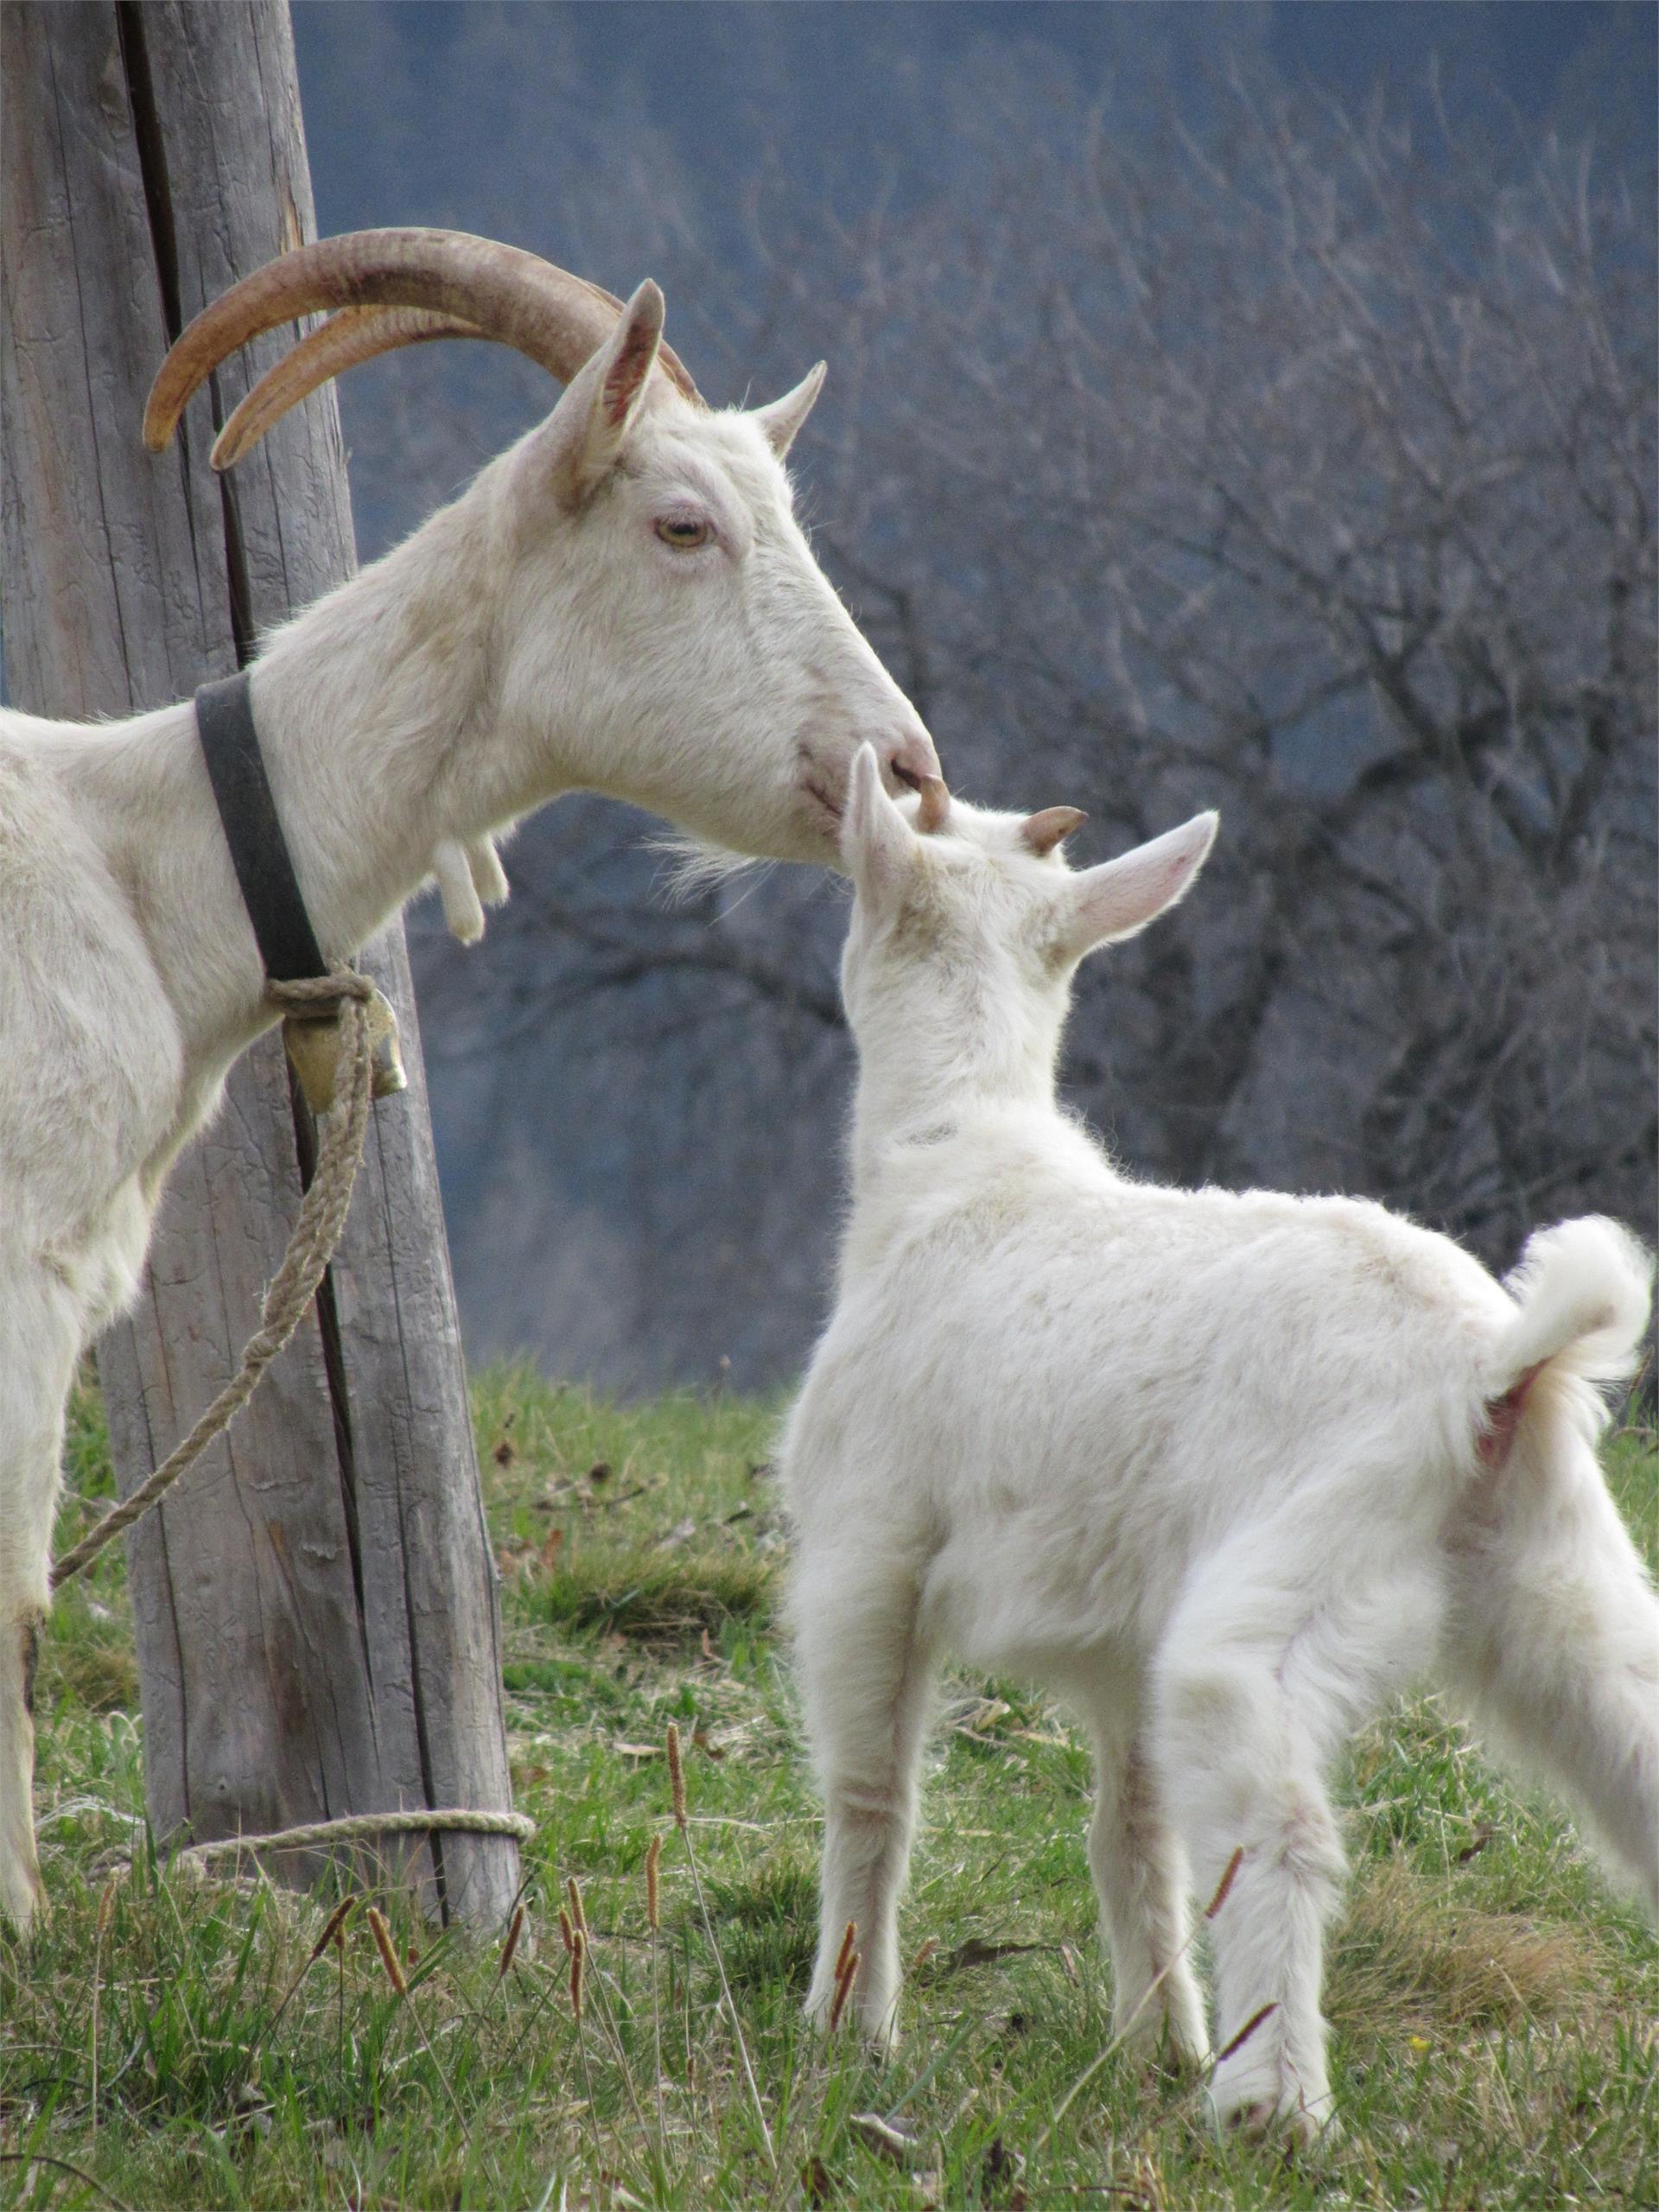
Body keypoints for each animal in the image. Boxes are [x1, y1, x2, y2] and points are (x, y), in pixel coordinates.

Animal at [783, 747, 1659, 2141]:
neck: (957, 1169)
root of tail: (1491, 1367)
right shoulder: (1120, 1623)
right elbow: (1133, 1831)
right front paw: (1155, 2044)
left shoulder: (867, 1554)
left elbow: (873, 1795)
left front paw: (847, 2028)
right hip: (1564, 1572)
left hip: (1297, 1572)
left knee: (1280, 1819)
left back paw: (1272, 2105)